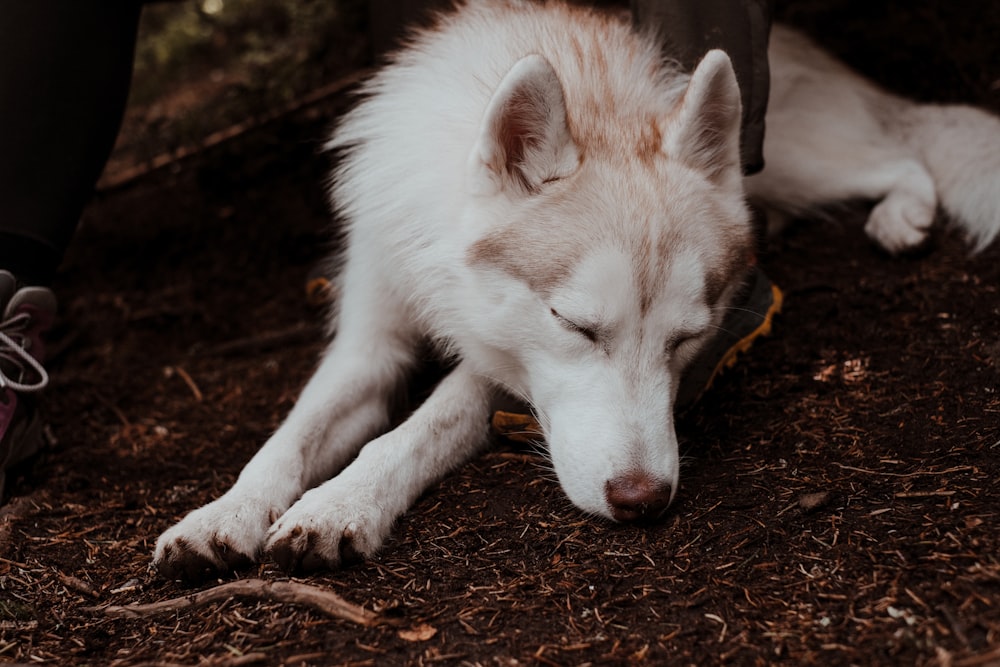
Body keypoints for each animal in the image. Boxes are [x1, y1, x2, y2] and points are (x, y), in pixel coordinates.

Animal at [152, 0, 996, 576]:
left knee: (901, 154)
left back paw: (902, 217)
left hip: (786, 158)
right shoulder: (367, 345)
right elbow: (287, 437)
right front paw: (223, 513)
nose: (643, 500)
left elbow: (414, 430)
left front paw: (339, 503)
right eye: (577, 325)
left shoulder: (491, 369)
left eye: (687, 339)